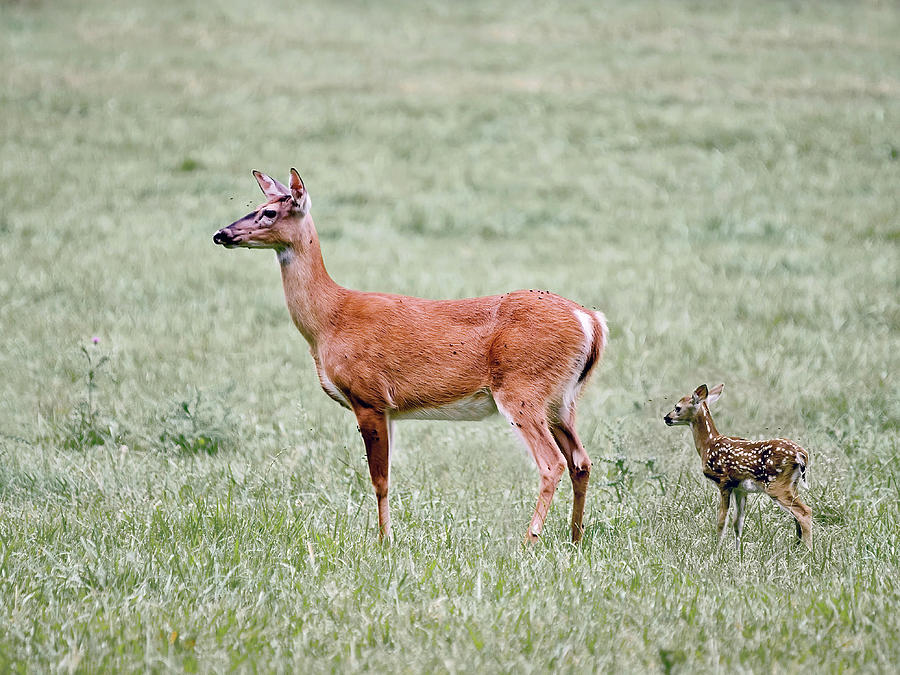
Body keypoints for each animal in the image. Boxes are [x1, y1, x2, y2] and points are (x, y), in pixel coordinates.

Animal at [212, 170, 608, 544]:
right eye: (258, 204)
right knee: (581, 461)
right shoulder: (387, 409)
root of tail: (591, 321)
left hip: (523, 389)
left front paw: (384, 541)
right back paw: (575, 538)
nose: (221, 233)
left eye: (269, 212)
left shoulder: (368, 396)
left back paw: (530, 540)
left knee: (552, 463)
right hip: (561, 401)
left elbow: (379, 480)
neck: (329, 319)